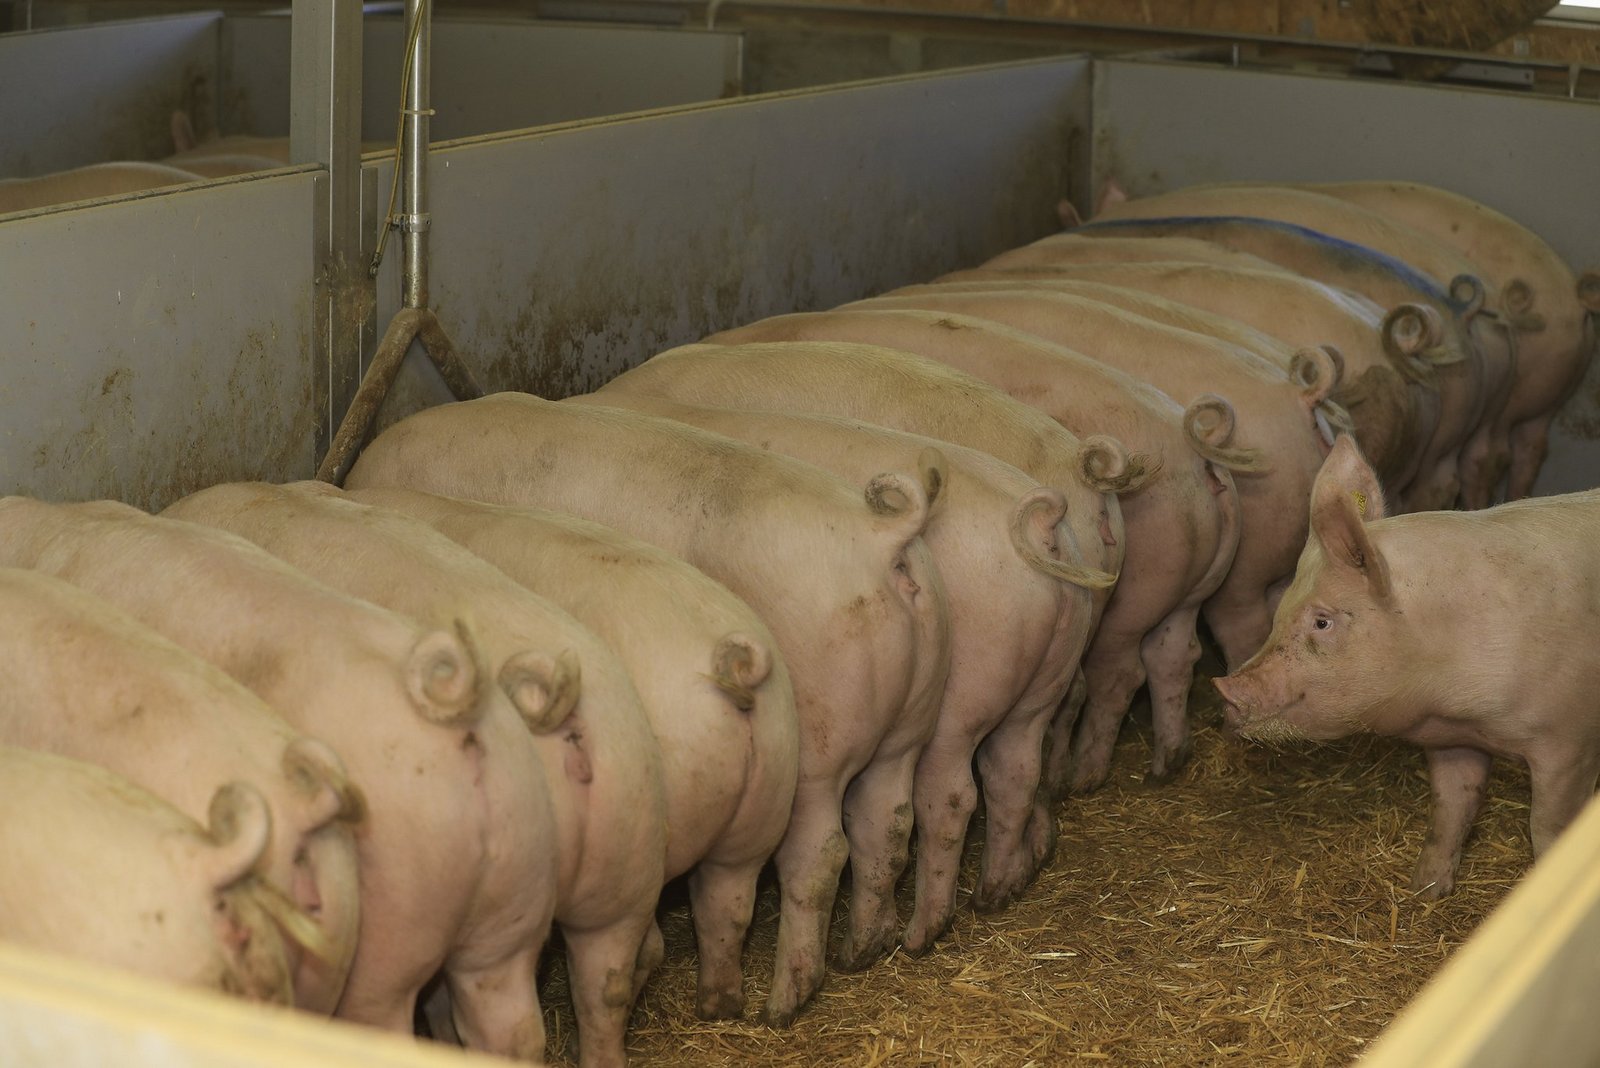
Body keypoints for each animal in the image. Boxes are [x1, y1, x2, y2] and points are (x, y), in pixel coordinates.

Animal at [560, 392, 1100, 950]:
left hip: (896, 724)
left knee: (913, 811)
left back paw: (904, 942)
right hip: (1027, 686)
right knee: (1001, 774)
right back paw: (966, 906)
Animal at [1215, 434, 1600, 898]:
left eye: (1322, 621)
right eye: (1282, 607)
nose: (1224, 687)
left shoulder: (1570, 744)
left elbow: (1547, 830)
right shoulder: (1456, 740)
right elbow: (1452, 806)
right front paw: (1426, 891)